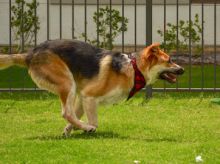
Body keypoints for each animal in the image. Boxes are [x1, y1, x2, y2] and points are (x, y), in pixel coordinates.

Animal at [0, 39, 184, 135]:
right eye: (169, 60)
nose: (182, 69)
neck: (134, 67)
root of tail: (30, 54)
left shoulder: (83, 98)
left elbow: (75, 117)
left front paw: (69, 131)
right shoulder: (89, 96)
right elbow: (93, 121)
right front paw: (87, 128)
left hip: (71, 88)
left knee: (69, 113)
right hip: (68, 83)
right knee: (66, 112)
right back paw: (87, 127)